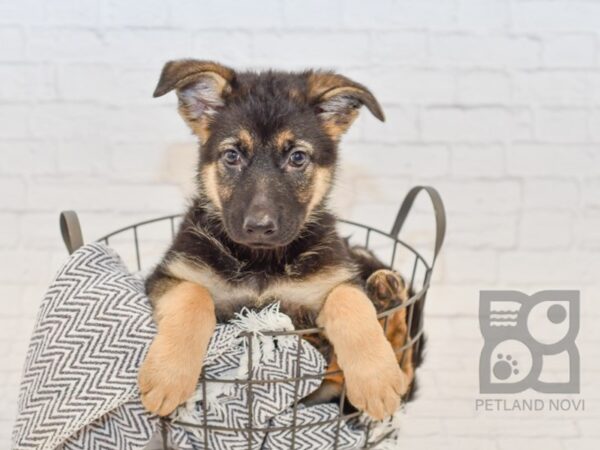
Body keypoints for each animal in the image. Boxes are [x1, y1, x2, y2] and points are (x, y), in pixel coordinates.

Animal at [139, 59, 418, 418]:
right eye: (232, 156)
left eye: (297, 157)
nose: (259, 227)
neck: (261, 261)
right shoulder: (170, 275)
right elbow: (193, 295)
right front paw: (168, 377)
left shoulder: (332, 279)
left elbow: (349, 299)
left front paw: (376, 379)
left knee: (404, 363)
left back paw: (387, 297)